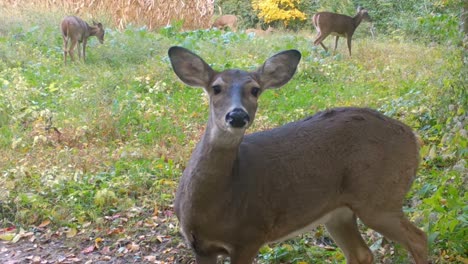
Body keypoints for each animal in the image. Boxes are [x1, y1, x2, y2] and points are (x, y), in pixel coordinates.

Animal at [167, 46, 428, 264]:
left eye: (255, 90)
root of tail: (412, 137)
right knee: (361, 253)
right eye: (216, 88)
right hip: (339, 212)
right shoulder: (200, 246)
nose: (237, 116)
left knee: (419, 239)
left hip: (379, 197)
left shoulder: (250, 235)